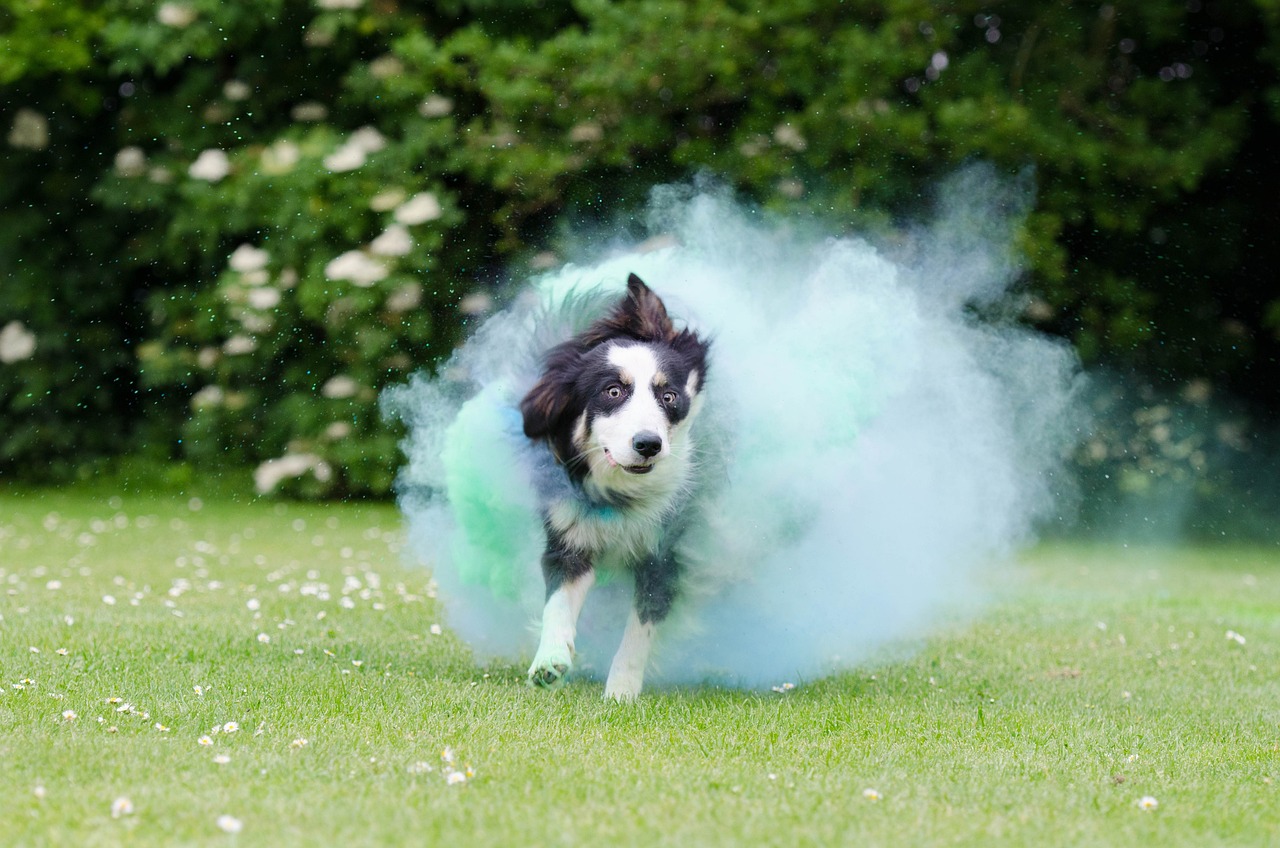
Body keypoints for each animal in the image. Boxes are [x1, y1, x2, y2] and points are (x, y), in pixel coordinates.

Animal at [524, 275, 716, 701]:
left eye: (669, 396)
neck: (624, 493)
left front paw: (621, 691)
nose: (648, 444)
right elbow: (557, 599)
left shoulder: (665, 551)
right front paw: (549, 659)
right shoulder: (569, 533)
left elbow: (640, 628)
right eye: (613, 391)